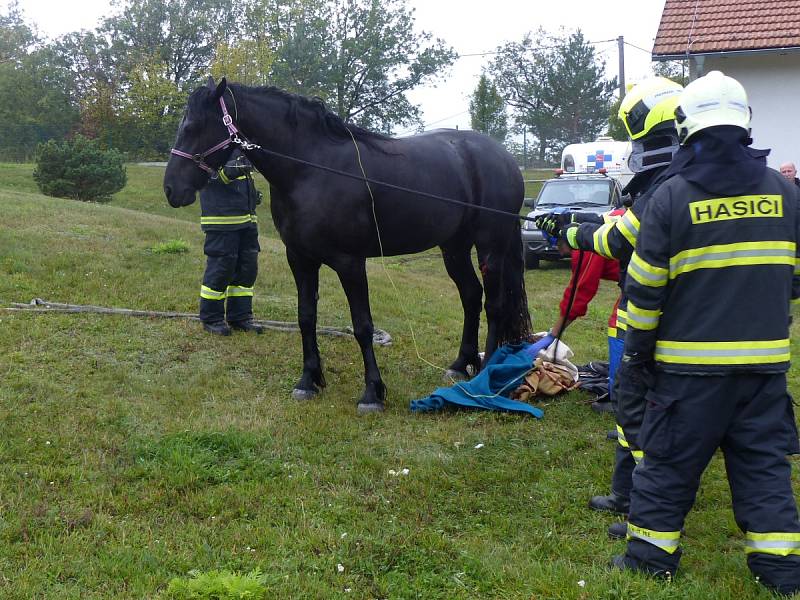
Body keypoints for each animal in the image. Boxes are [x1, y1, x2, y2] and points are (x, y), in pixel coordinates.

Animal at [162, 77, 532, 412]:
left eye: (193, 126)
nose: (171, 189)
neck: (312, 169)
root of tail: (503, 156)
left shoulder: (350, 262)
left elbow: (362, 326)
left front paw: (372, 393)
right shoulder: (300, 259)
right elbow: (306, 317)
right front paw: (308, 381)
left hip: (490, 247)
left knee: (494, 305)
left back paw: (486, 374)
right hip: (453, 248)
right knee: (471, 296)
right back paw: (460, 365)